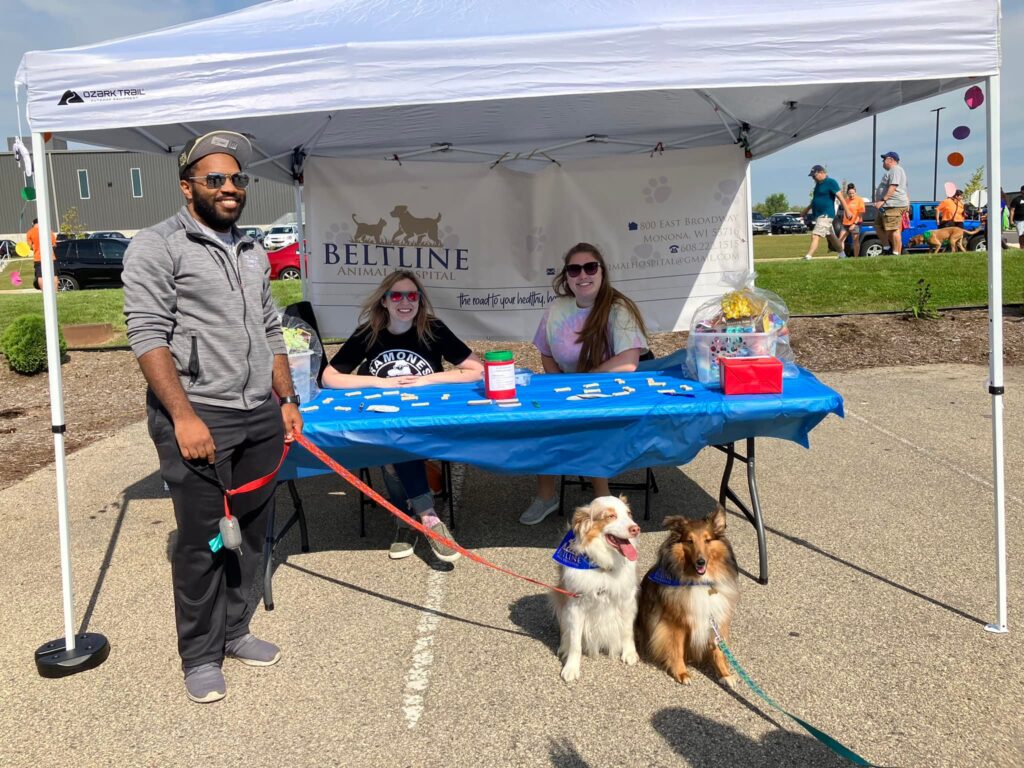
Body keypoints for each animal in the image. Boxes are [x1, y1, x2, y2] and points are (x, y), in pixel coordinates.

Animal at [552, 499, 638, 684]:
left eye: (629, 514)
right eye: (611, 516)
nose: (636, 529)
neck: (602, 567)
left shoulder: (627, 600)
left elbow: (627, 630)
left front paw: (629, 653)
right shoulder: (575, 605)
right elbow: (575, 643)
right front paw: (571, 668)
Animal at [634, 507, 741, 688]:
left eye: (707, 540)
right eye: (689, 541)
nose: (700, 562)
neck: (700, 583)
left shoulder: (715, 619)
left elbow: (719, 651)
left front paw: (725, 674)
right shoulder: (674, 623)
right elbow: (676, 649)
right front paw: (682, 673)